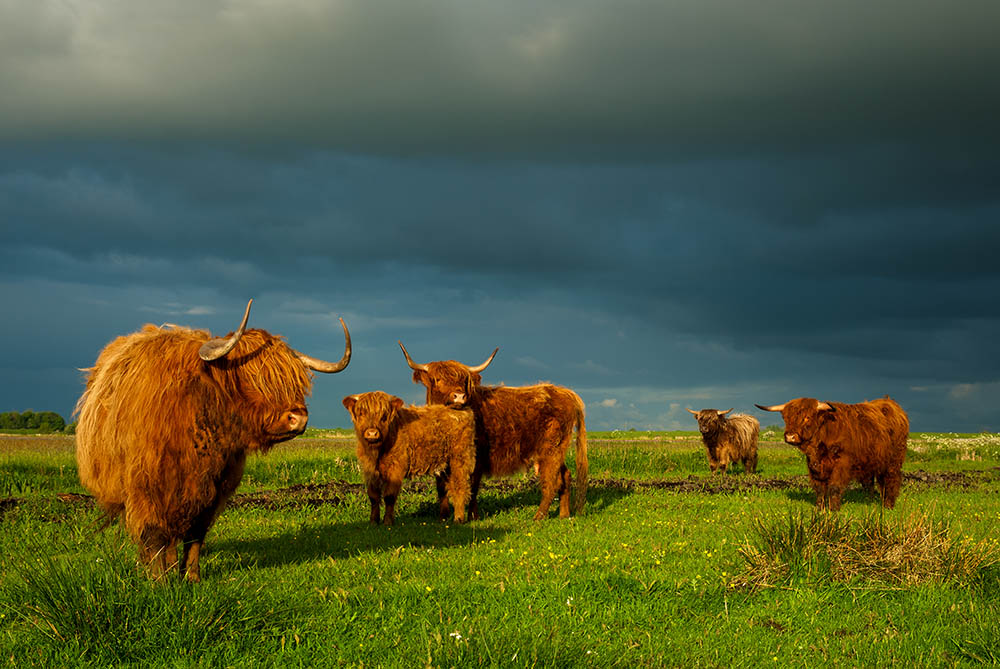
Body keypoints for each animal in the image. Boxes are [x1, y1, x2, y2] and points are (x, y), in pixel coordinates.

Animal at [74, 298, 350, 580]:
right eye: (251, 376)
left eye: (294, 378)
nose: (298, 418)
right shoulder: (146, 487)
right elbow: (154, 535)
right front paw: (159, 581)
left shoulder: (213, 492)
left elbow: (195, 536)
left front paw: (191, 577)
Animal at [396, 344, 584, 520]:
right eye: (437, 379)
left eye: (464, 380)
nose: (459, 396)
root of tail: (565, 392)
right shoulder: (441, 461)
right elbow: (441, 488)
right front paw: (443, 516)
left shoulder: (477, 458)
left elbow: (472, 486)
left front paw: (472, 516)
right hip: (555, 451)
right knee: (565, 476)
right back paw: (564, 514)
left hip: (551, 449)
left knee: (552, 480)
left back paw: (539, 516)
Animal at [756, 394, 916, 508]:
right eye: (786, 418)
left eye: (807, 417)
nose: (790, 436)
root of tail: (891, 404)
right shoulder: (814, 466)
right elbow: (820, 489)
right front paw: (819, 508)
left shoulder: (842, 464)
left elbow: (834, 486)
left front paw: (833, 509)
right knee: (874, 482)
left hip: (894, 460)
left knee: (892, 479)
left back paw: (888, 505)